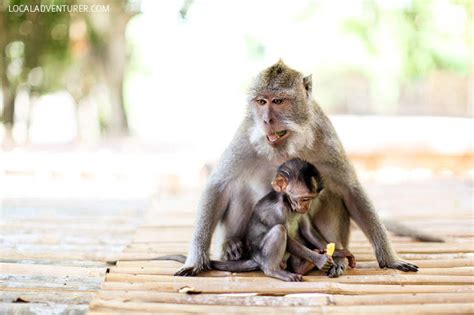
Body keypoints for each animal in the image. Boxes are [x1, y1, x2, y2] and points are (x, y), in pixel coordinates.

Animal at [159, 159, 334, 282]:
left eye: (311, 199)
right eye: (304, 198)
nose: (306, 206)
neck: (288, 204)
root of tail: (254, 257)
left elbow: (306, 229)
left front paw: (335, 253)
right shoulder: (276, 211)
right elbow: (287, 237)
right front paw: (319, 259)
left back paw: (302, 266)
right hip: (262, 254)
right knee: (279, 230)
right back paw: (274, 270)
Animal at [177, 60, 418, 278]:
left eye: (278, 101)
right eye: (261, 101)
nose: (266, 120)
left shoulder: (325, 137)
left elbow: (350, 189)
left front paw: (390, 259)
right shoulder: (245, 135)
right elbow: (219, 185)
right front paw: (196, 260)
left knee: (332, 195)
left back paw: (334, 259)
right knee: (238, 188)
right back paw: (232, 244)